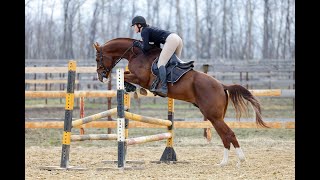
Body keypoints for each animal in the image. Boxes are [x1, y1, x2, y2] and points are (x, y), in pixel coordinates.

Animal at [92, 37, 268, 167]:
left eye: (98, 58)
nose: (101, 76)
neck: (137, 54)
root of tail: (221, 85)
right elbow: (125, 76)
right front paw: (132, 89)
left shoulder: (141, 78)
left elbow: (123, 76)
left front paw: (132, 87)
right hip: (216, 117)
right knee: (225, 136)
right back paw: (226, 162)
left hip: (213, 116)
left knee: (228, 134)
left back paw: (237, 160)